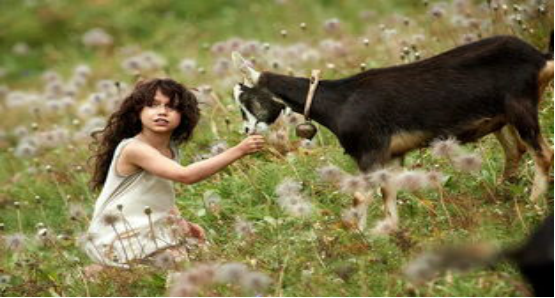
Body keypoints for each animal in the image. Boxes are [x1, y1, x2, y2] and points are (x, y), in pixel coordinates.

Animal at [232, 34, 552, 205]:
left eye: (244, 100)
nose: (246, 131)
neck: (341, 100)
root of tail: (540, 57)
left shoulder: (369, 151)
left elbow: (361, 196)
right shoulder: (392, 154)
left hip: (521, 108)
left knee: (543, 153)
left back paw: (533, 201)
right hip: (502, 118)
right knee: (516, 150)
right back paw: (501, 194)